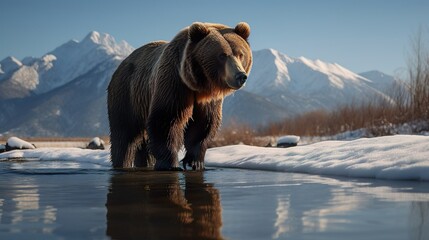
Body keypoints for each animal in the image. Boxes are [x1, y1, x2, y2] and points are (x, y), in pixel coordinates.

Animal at [107, 21, 252, 170]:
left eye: (240, 54)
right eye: (222, 55)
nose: (240, 76)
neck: (198, 84)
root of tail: (122, 64)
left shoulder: (208, 99)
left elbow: (203, 125)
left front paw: (195, 162)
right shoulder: (174, 82)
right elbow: (167, 119)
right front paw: (170, 163)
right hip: (127, 93)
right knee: (124, 134)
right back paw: (121, 163)